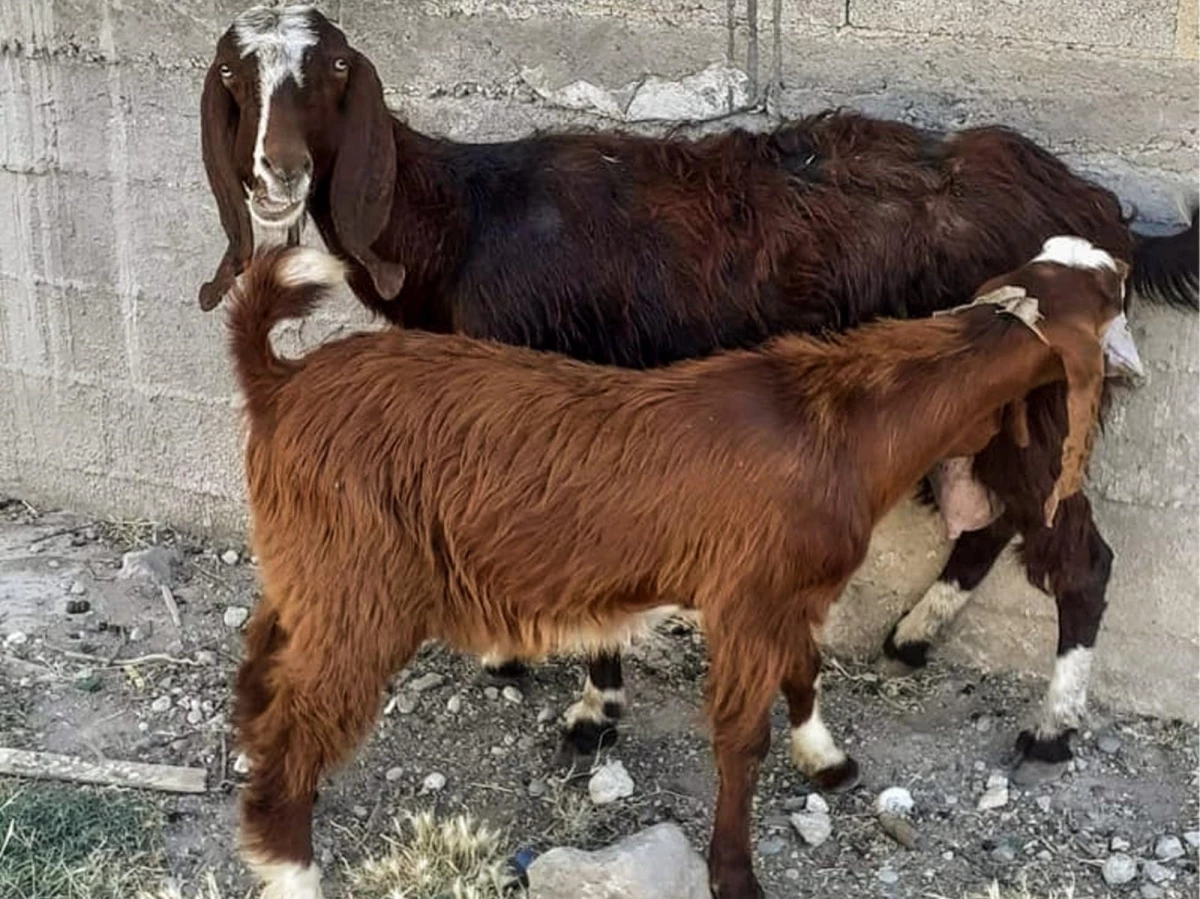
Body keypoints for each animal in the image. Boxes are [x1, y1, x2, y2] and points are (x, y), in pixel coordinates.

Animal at [201, 1, 1195, 772]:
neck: (464, 221)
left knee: (1078, 558)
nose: (278, 174)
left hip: (1043, 402)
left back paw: (1051, 728)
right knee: (990, 523)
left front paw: (592, 711)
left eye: (333, 69)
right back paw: (915, 633)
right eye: (235, 79)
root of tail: (1103, 213)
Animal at [226, 236, 1142, 897]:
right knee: (303, 714)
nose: (1128, 276)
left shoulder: (788, 590)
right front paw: (734, 873)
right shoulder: (746, 598)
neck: (841, 424)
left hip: (309, 560)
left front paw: (827, 758)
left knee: (265, 652)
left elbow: (804, 672)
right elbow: (741, 737)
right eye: (1110, 297)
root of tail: (279, 380)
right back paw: (289, 865)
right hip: (360, 580)